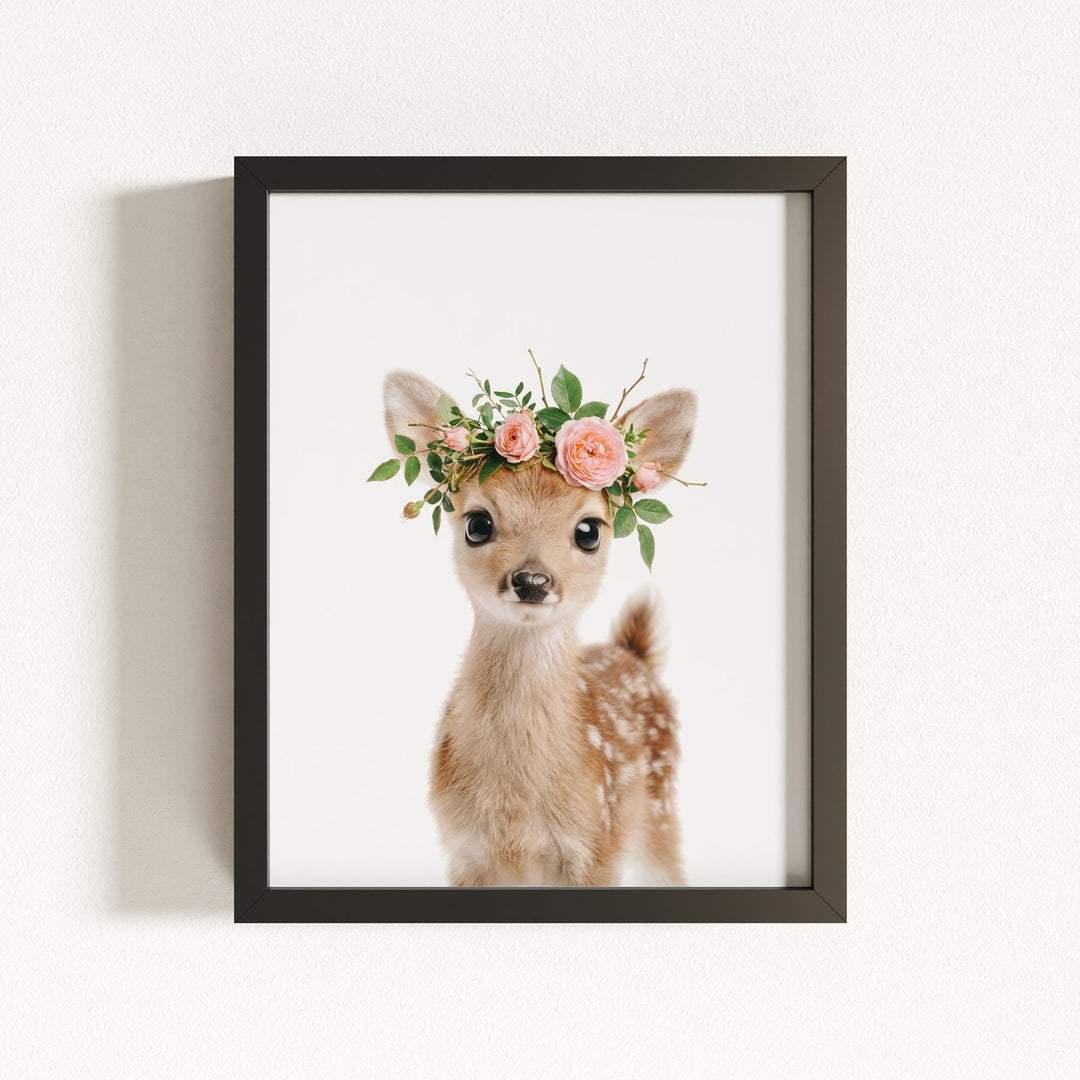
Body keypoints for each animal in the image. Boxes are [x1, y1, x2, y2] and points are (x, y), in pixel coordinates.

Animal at [383, 370, 697, 886]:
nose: (532, 581)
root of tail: (633, 654)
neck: (516, 811)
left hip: (660, 809)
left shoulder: (596, 846)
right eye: (477, 523)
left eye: (589, 531)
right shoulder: (463, 850)